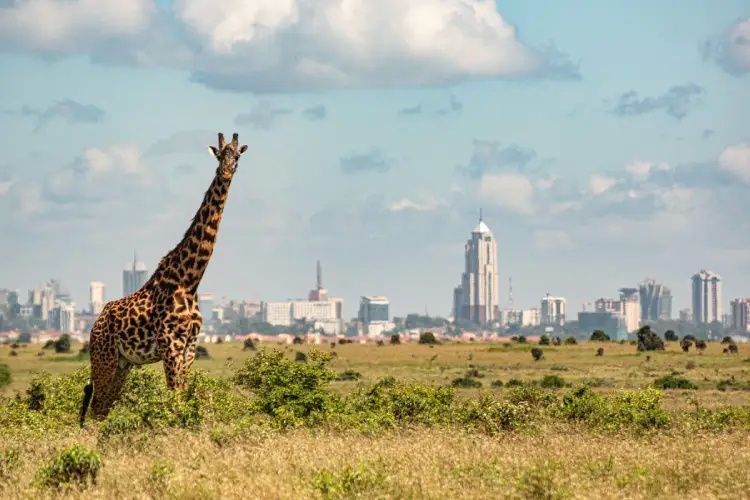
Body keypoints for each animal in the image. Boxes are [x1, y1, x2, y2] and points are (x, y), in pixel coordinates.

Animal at [81, 131, 248, 424]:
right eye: (219, 155)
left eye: (237, 156)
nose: (226, 172)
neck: (189, 281)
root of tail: (96, 323)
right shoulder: (170, 345)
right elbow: (175, 400)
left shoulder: (190, 345)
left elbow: (183, 395)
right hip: (103, 357)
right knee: (95, 407)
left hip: (123, 364)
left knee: (103, 408)